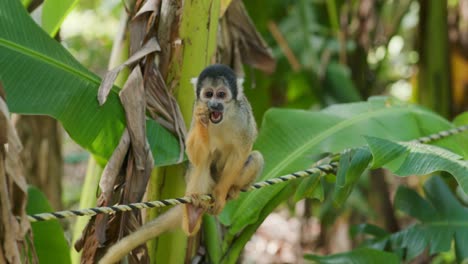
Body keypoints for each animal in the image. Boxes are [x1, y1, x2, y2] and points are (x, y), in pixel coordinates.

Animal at [99, 64, 264, 264]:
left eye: (221, 95)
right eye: (209, 94)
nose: (214, 105)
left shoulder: (243, 115)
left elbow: (242, 150)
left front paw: (221, 193)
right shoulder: (195, 108)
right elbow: (195, 155)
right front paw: (202, 121)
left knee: (255, 157)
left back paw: (231, 191)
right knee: (202, 163)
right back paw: (193, 212)